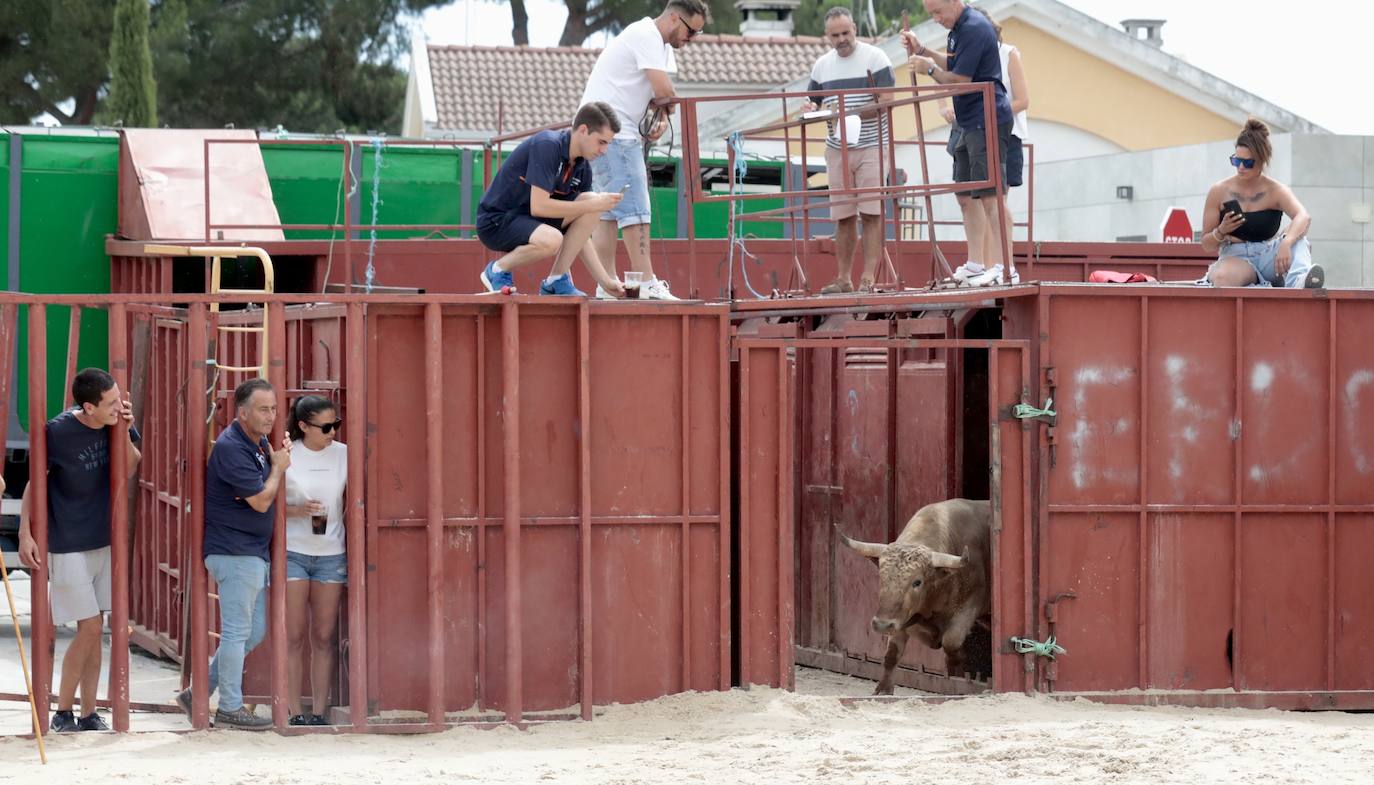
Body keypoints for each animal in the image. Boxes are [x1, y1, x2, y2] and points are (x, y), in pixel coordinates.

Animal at [835, 500, 989, 698]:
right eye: (882, 577)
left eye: (917, 582)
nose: (882, 625)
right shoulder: (901, 618)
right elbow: (892, 655)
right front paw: (883, 690)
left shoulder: (970, 604)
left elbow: (951, 639)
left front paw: (957, 660)